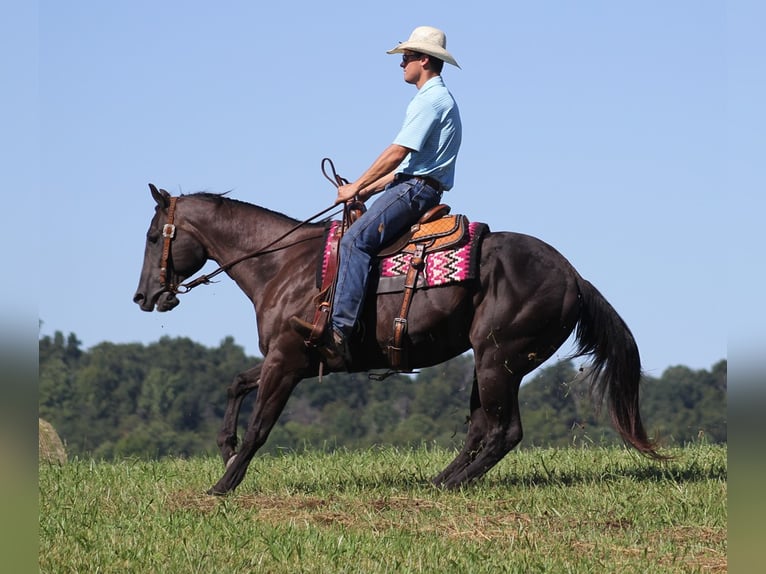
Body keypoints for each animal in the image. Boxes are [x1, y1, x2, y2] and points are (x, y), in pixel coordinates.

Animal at [135, 186, 664, 496]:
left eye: (151, 236)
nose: (144, 296)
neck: (282, 266)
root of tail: (573, 276)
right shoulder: (284, 360)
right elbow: (236, 385)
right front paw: (225, 450)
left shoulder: (286, 361)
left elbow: (260, 426)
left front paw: (224, 484)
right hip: (489, 363)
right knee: (482, 428)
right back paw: (440, 479)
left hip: (500, 359)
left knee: (503, 431)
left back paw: (450, 485)